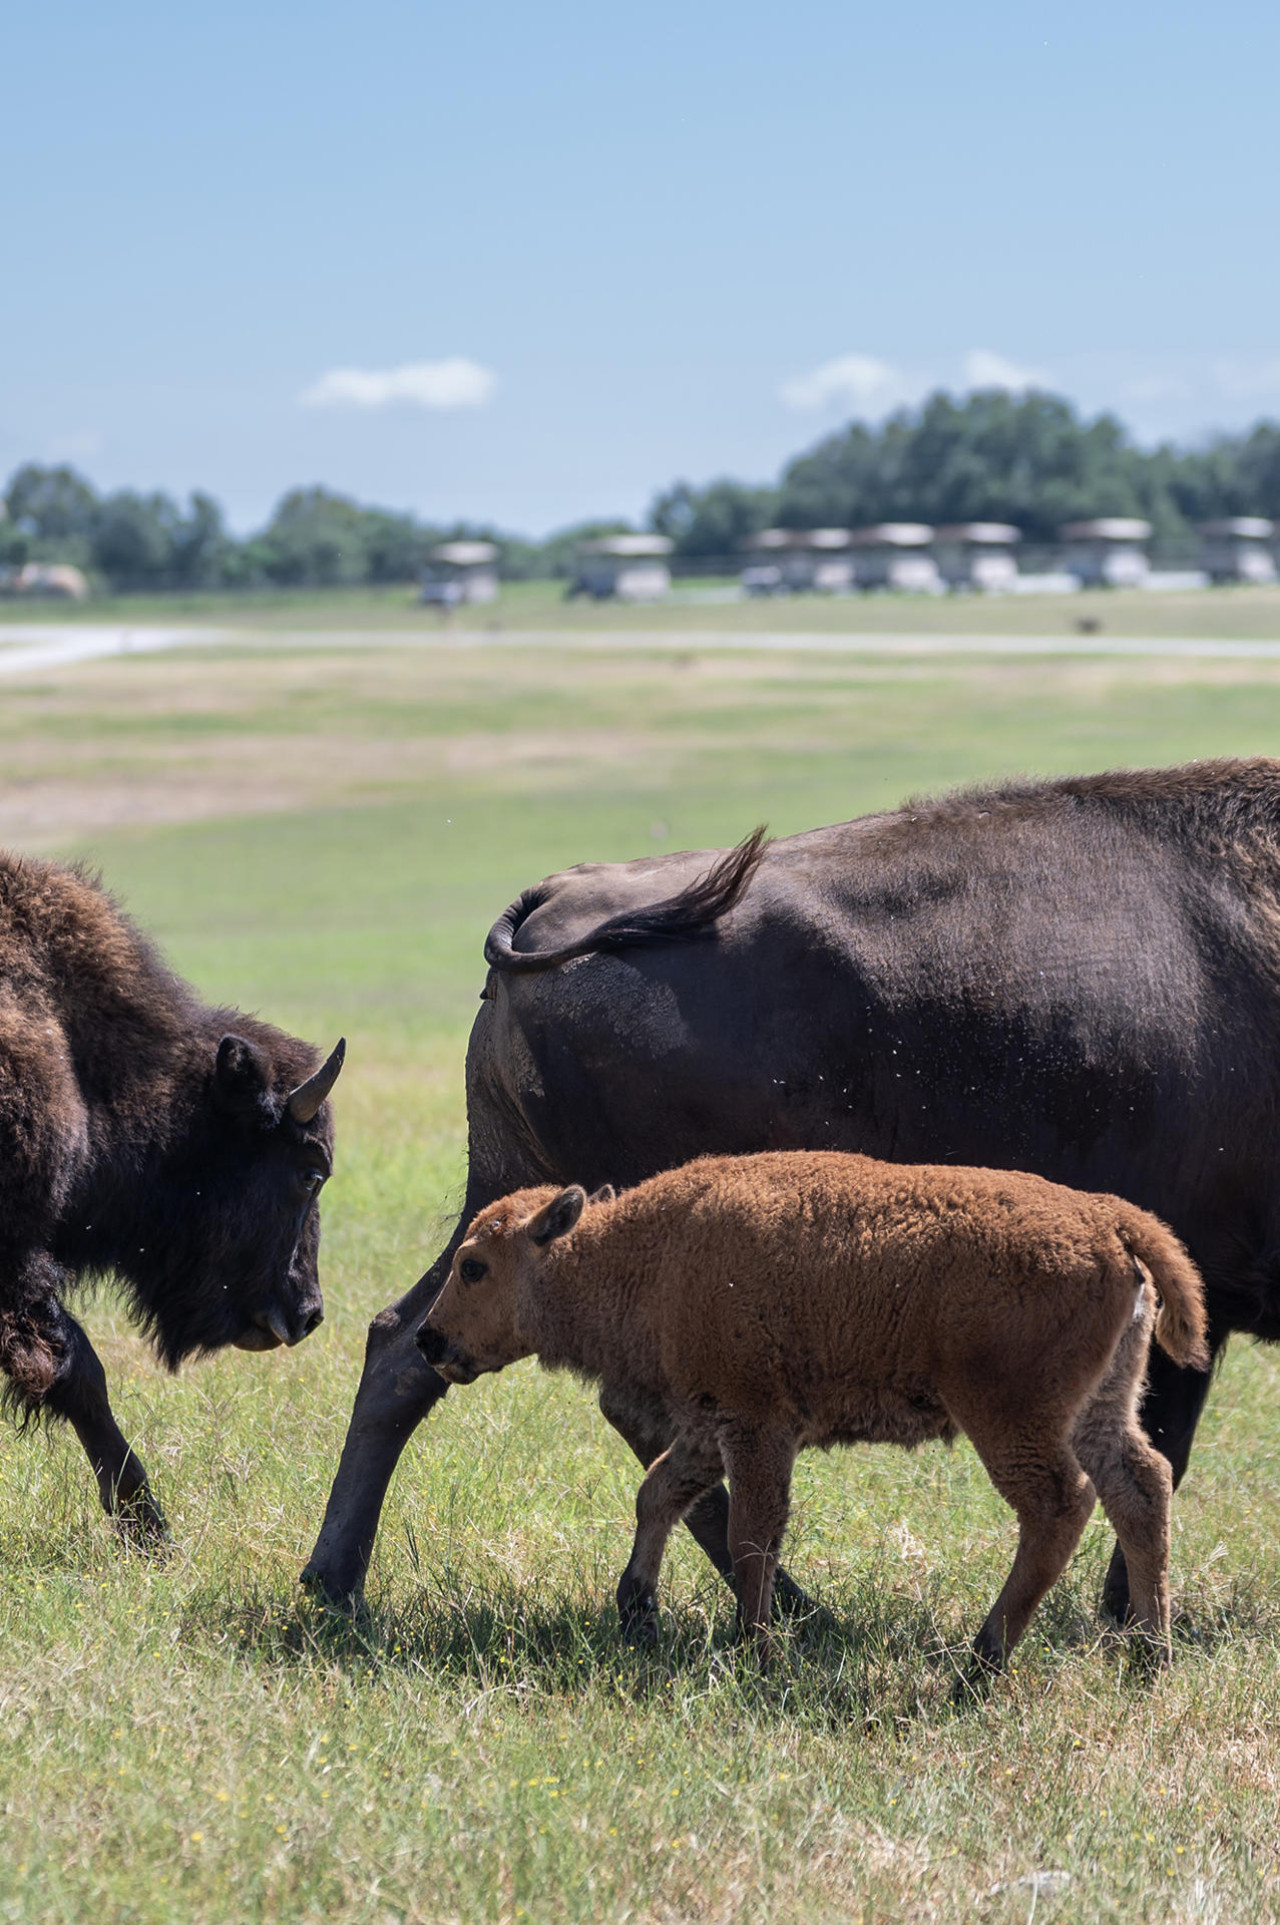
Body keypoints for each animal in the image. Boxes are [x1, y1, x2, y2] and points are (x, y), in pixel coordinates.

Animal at [419, 1155, 1208, 1670]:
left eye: (474, 1266)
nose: (430, 1339)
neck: (650, 1253)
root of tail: (1106, 1218)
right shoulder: (709, 1426)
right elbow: (659, 1493)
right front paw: (637, 1610)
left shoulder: (756, 1425)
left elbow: (750, 1534)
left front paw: (754, 1646)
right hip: (1099, 1408)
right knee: (1141, 1487)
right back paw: (1150, 1656)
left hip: (1010, 1420)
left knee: (1059, 1504)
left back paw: (980, 1663)